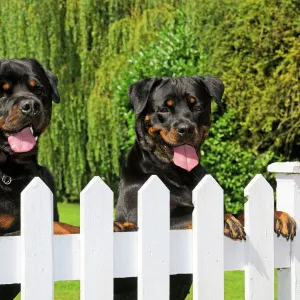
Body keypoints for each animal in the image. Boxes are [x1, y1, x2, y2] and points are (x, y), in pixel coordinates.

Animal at [114, 75, 296, 300]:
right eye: (164, 109)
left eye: (197, 107)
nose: (185, 128)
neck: (180, 175)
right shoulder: (141, 219)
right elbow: (189, 215)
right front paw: (225, 220)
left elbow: (242, 214)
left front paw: (278, 216)